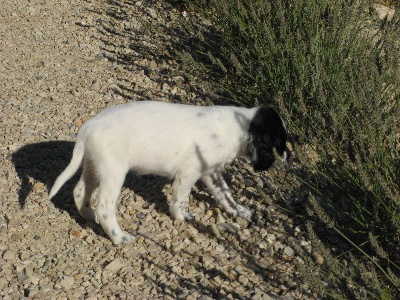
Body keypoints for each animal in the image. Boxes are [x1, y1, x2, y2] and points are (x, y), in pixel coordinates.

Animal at [48, 101, 290, 244]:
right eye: (276, 143)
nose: (285, 159)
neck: (239, 127)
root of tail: (88, 126)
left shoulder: (210, 172)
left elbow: (225, 194)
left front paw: (237, 210)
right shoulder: (190, 171)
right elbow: (180, 199)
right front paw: (181, 217)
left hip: (94, 164)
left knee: (80, 191)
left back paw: (88, 215)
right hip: (113, 171)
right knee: (105, 207)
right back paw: (119, 237)